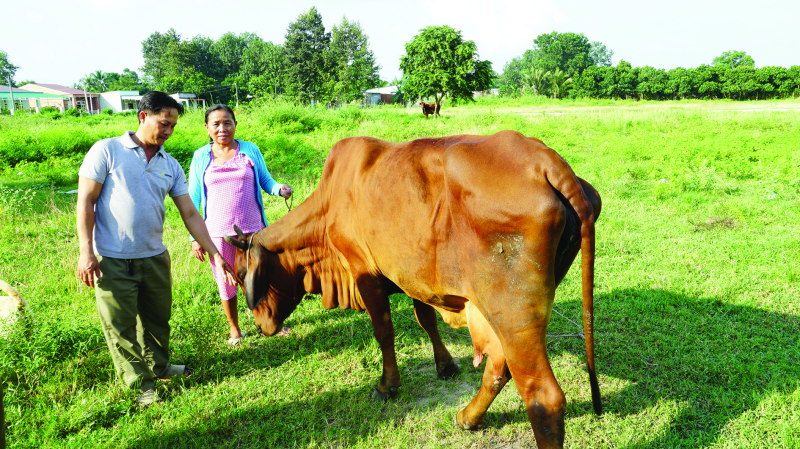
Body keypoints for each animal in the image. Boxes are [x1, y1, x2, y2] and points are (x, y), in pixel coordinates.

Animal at [225, 130, 600, 448]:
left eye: (242, 273)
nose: (261, 325)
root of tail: (544, 161)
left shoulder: (364, 273)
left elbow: (383, 331)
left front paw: (387, 386)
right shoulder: (412, 277)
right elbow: (426, 319)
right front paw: (445, 365)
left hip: (511, 314)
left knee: (542, 395)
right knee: (499, 366)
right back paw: (468, 417)